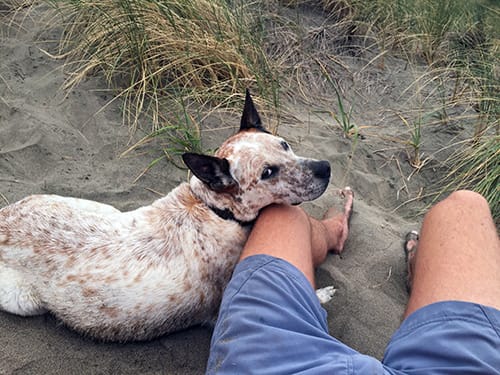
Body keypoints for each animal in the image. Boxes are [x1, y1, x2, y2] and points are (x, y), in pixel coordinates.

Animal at [0, 90, 352, 340]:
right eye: (268, 172)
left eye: (285, 144)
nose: (325, 168)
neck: (216, 210)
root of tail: (5, 215)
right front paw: (321, 295)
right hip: (21, 300)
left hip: (96, 207)